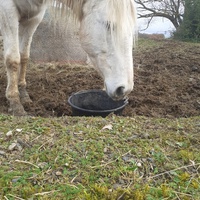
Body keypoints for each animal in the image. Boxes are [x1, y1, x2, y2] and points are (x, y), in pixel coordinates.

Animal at [0, 0, 138, 115]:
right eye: (109, 25)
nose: (124, 89)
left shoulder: (33, 18)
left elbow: (24, 56)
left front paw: (23, 94)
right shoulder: (7, 10)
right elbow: (13, 59)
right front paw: (15, 103)